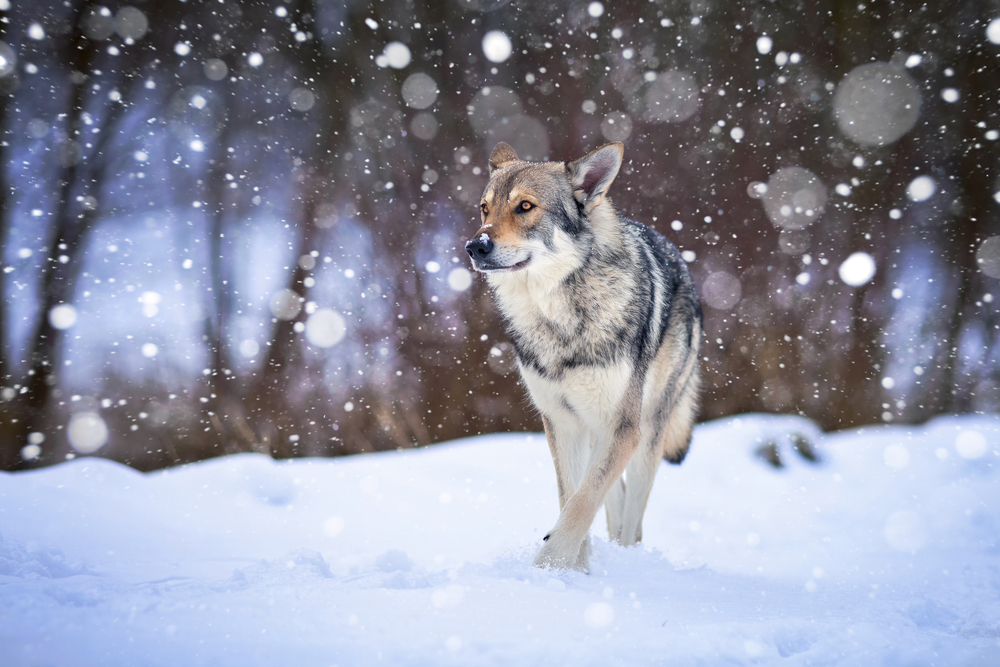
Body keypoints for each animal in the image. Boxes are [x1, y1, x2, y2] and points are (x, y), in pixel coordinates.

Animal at [464, 142, 700, 576]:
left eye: (525, 206)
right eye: (485, 209)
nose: (475, 246)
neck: (559, 316)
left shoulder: (623, 430)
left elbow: (581, 504)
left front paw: (548, 569)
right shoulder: (561, 422)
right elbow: (572, 497)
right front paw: (572, 573)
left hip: (647, 433)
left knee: (632, 516)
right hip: (595, 428)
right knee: (612, 495)